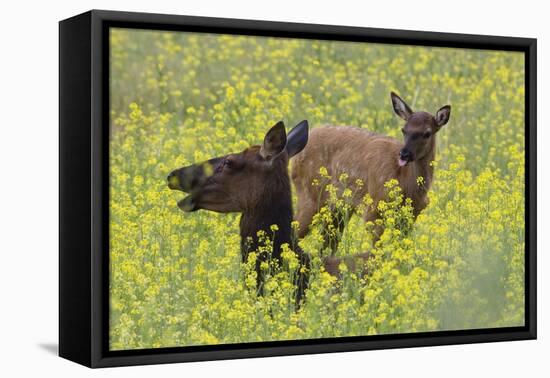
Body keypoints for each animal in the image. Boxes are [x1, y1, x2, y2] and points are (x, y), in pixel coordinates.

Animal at [294, 91, 452, 254]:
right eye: (404, 130)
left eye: (427, 133)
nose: (404, 154)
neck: (406, 184)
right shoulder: (373, 208)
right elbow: (377, 250)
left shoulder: (412, 214)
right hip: (310, 194)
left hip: (338, 207)